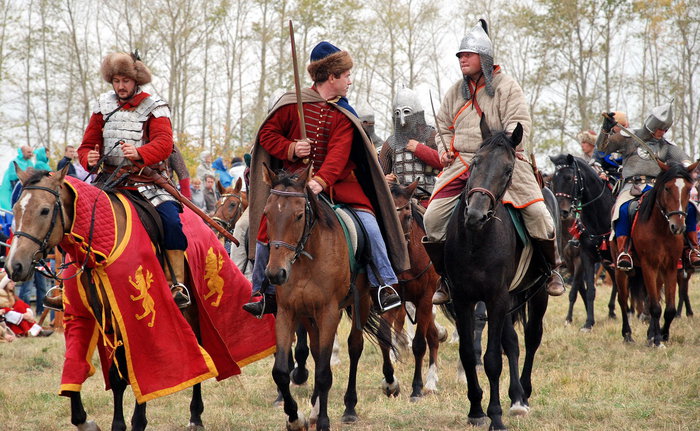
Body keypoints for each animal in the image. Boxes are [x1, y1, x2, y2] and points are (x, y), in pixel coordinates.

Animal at [5, 166, 274, 431]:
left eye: (44, 210)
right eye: (16, 209)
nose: (14, 266)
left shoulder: (133, 316)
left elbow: (141, 365)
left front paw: (135, 422)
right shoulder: (93, 316)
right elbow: (98, 368)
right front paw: (91, 421)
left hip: (193, 307)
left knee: (200, 341)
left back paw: (195, 416)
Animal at [262, 164, 394, 430]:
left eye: (299, 215)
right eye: (267, 214)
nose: (275, 273)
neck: (306, 257)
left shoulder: (329, 311)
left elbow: (324, 372)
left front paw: (323, 420)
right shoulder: (288, 312)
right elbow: (281, 371)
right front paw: (295, 417)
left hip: (361, 302)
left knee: (355, 347)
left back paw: (349, 407)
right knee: (315, 351)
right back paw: (313, 407)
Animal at [446, 115, 556, 431]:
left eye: (508, 170)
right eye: (475, 162)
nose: (475, 215)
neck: (476, 241)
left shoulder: (495, 299)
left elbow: (493, 359)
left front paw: (494, 415)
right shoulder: (463, 299)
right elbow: (468, 353)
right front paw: (475, 410)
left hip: (537, 293)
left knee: (532, 337)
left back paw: (523, 396)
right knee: (513, 342)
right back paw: (516, 396)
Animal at [548, 154, 616, 330]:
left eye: (569, 177)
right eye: (553, 180)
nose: (562, 211)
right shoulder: (583, 259)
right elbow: (586, 290)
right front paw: (587, 322)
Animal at [612, 160, 700, 346]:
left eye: (688, 189)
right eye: (667, 188)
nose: (678, 227)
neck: (661, 229)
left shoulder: (671, 267)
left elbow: (669, 308)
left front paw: (662, 335)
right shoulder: (649, 266)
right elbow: (654, 306)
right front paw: (658, 341)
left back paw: (650, 334)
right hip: (619, 269)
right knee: (623, 299)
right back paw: (628, 335)